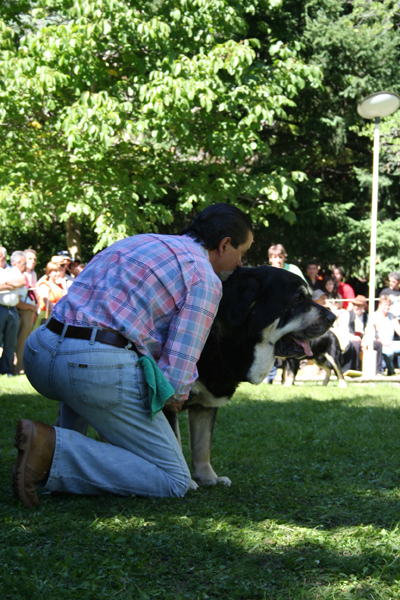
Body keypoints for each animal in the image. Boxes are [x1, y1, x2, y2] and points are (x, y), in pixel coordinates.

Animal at [164, 266, 336, 488]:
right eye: (298, 299)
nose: (333, 318)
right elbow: (175, 443)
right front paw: (186, 482)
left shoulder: (205, 404)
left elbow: (203, 445)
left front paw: (209, 477)